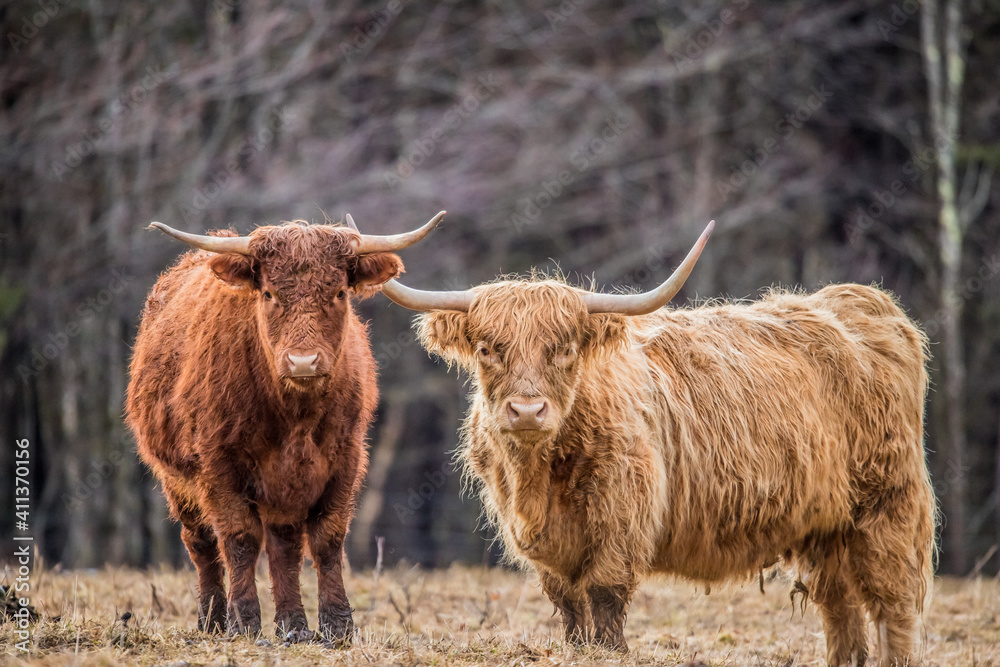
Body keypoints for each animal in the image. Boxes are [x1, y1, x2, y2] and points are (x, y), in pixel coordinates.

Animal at [125, 212, 445, 641]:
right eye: (269, 294)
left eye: (338, 293)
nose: (303, 362)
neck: (296, 417)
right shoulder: (218, 464)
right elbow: (240, 538)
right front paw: (244, 622)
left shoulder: (345, 459)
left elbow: (327, 539)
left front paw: (336, 626)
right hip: (177, 479)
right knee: (202, 543)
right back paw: (212, 620)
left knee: (284, 545)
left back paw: (292, 624)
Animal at [375, 220, 936, 665]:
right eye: (488, 349)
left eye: (566, 348)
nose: (528, 410)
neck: (539, 479)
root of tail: (864, 303)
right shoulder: (540, 542)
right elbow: (568, 603)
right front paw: (579, 648)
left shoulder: (622, 516)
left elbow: (604, 593)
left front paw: (610, 651)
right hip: (827, 525)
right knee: (840, 607)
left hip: (886, 506)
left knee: (892, 604)